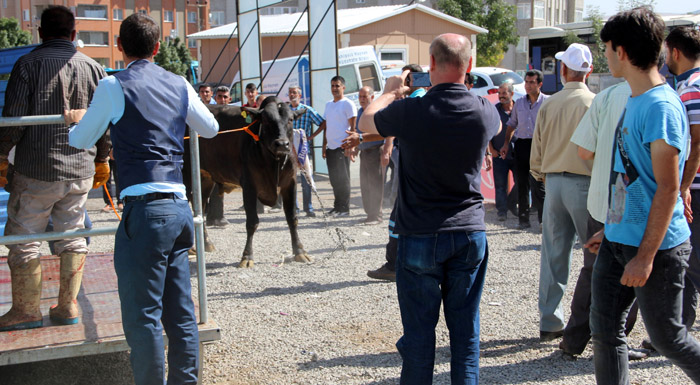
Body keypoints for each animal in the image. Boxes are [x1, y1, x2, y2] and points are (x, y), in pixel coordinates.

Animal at [183, 97, 308, 268]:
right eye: (266, 120)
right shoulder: (249, 186)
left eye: (290, 119)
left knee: (200, 209)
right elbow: (252, 222)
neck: (274, 161)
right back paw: (190, 248)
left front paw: (300, 251)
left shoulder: (290, 183)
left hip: (205, 179)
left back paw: (207, 243)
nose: (282, 144)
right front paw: (247, 256)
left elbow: (292, 218)